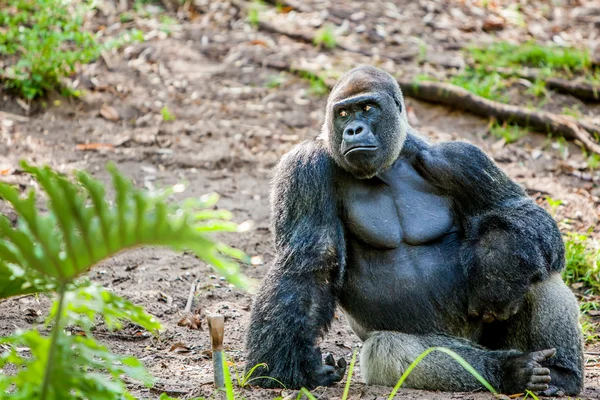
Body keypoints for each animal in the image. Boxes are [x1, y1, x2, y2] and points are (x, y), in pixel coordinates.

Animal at [244, 65, 580, 396]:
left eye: (368, 108)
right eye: (343, 114)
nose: (354, 130)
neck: (388, 168)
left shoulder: (462, 158)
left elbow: (521, 212)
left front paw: (498, 269)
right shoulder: (305, 166)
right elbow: (310, 261)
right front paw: (294, 367)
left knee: (533, 261)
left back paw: (560, 374)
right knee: (385, 349)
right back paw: (507, 370)